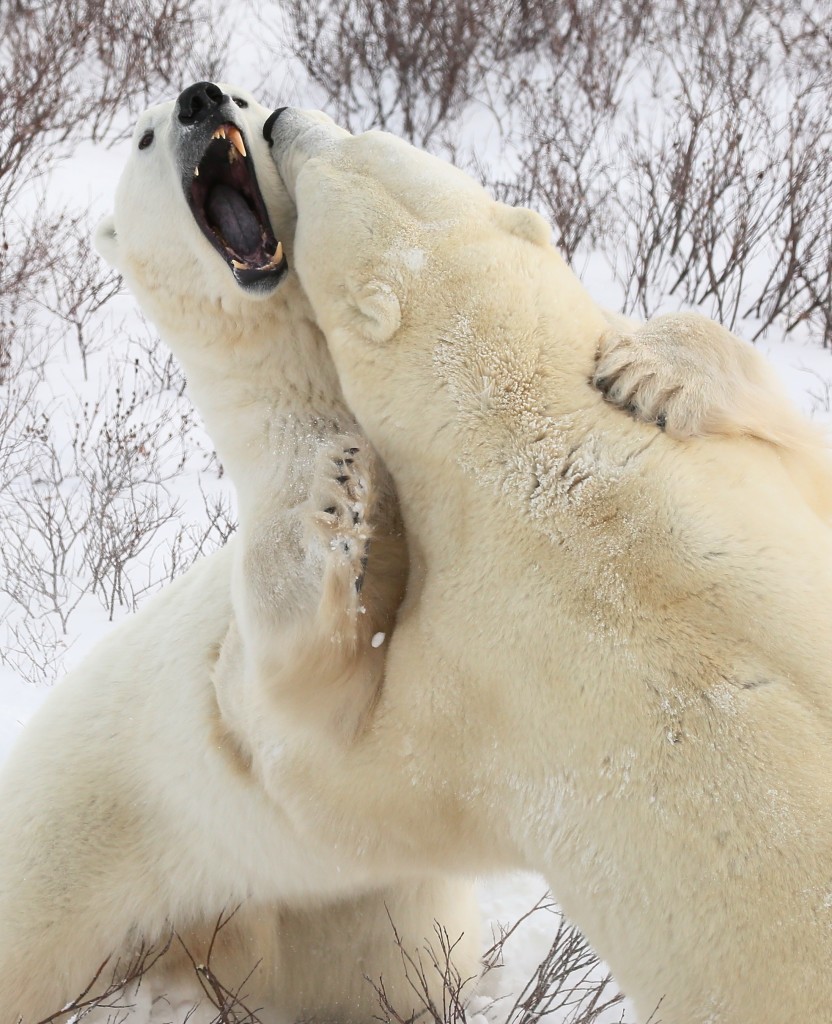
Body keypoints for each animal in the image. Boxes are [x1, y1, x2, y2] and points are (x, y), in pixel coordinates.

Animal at [0, 83, 481, 1024]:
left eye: (246, 97)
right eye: (144, 137)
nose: (201, 99)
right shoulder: (232, 695)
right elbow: (269, 695)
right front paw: (342, 496)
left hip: (335, 916)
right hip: (54, 868)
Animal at [255, 108, 832, 1023]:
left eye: (330, 158)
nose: (278, 118)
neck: (539, 449)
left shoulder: (482, 668)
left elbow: (351, 787)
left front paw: (649, 369)